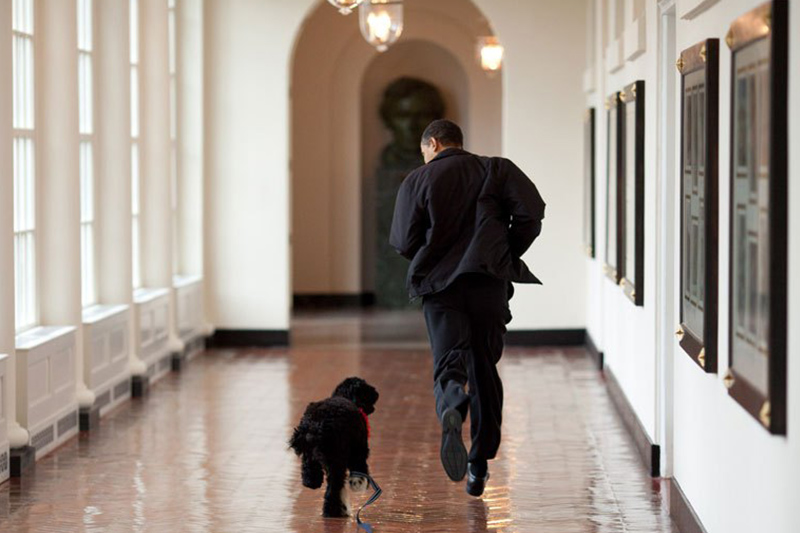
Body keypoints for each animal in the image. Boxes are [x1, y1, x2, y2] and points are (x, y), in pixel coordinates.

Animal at [290, 374, 380, 516]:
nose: (376, 393)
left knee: (311, 473)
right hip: (337, 459)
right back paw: (333, 510)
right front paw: (358, 484)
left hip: (312, 455)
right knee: (334, 487)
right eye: (367, 389)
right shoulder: (359, 450)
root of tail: (316, 424)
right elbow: (360, 470)